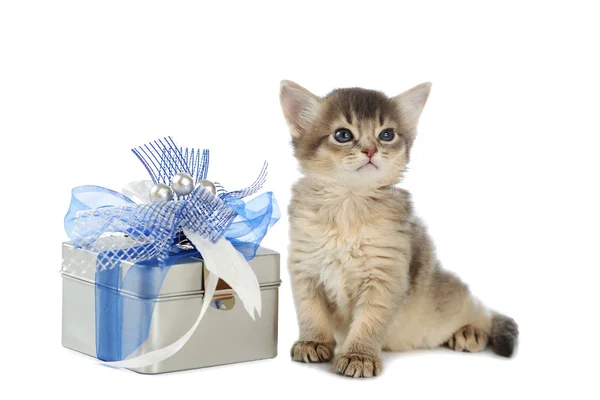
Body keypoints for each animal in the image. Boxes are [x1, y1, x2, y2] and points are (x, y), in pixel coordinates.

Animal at [278, 79, 516, 376]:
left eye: (387, 134)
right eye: (343, 135)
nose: (370, 150)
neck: (349, 204)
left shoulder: (385, 275)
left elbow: (368, 322)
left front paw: (359, 356)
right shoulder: (305, 268)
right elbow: (311, 313)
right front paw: (313, 342)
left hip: (443, 301)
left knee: (481, 310)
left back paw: (471, 331)